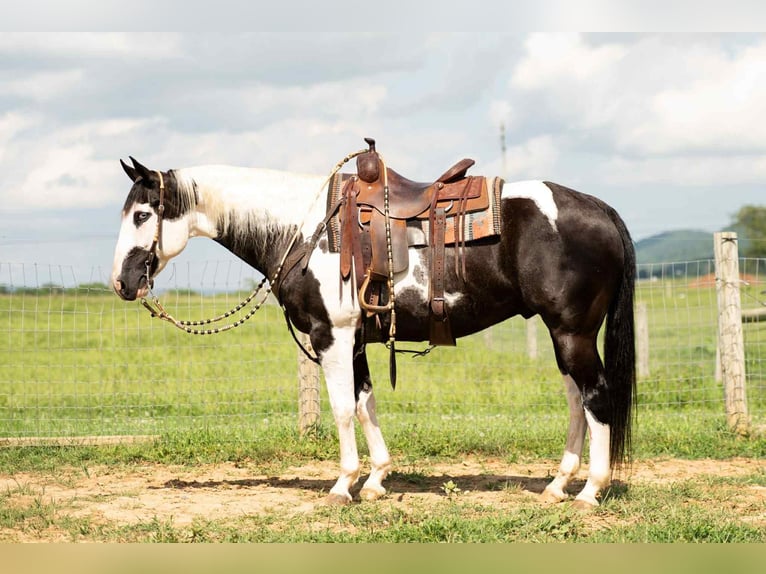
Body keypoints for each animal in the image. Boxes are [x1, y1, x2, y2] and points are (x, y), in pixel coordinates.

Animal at [111, 151, 636, 510]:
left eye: (142, 215)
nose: (122, 282)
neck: (303, 229)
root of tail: (600, 208)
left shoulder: (332, 336)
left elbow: (343, 409)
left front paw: (343, 485)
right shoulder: (357, 341)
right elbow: (366, 404)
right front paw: (377, 479)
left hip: (573, 333)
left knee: (595, 397)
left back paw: (590, 490)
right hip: (561, 335)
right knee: (576, 401)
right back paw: (558, 484)